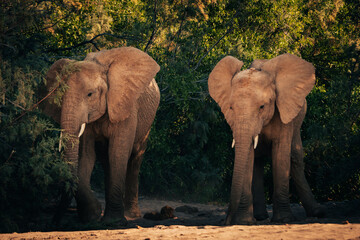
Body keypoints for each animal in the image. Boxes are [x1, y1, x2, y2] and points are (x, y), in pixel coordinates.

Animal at [40, 47, 160, 225]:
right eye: (60, 95)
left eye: (90, 94)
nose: (55, 220)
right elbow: (86, 155)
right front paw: (92, 216)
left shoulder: (125, 107)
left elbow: (118, 153)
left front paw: (114, 222)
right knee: (105, 160)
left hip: (147, 123)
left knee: (135, 158)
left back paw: (131, 215)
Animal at [207, 52, 324, 225]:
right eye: (231, 108)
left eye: (262, 107)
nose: (226, 221)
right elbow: (248, 155)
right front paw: (244, 222)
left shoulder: (284, 111)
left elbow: (281, 154)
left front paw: (283, 219)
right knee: (258, 161)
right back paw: (260, 217)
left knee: (295, 158)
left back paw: (317, 212)